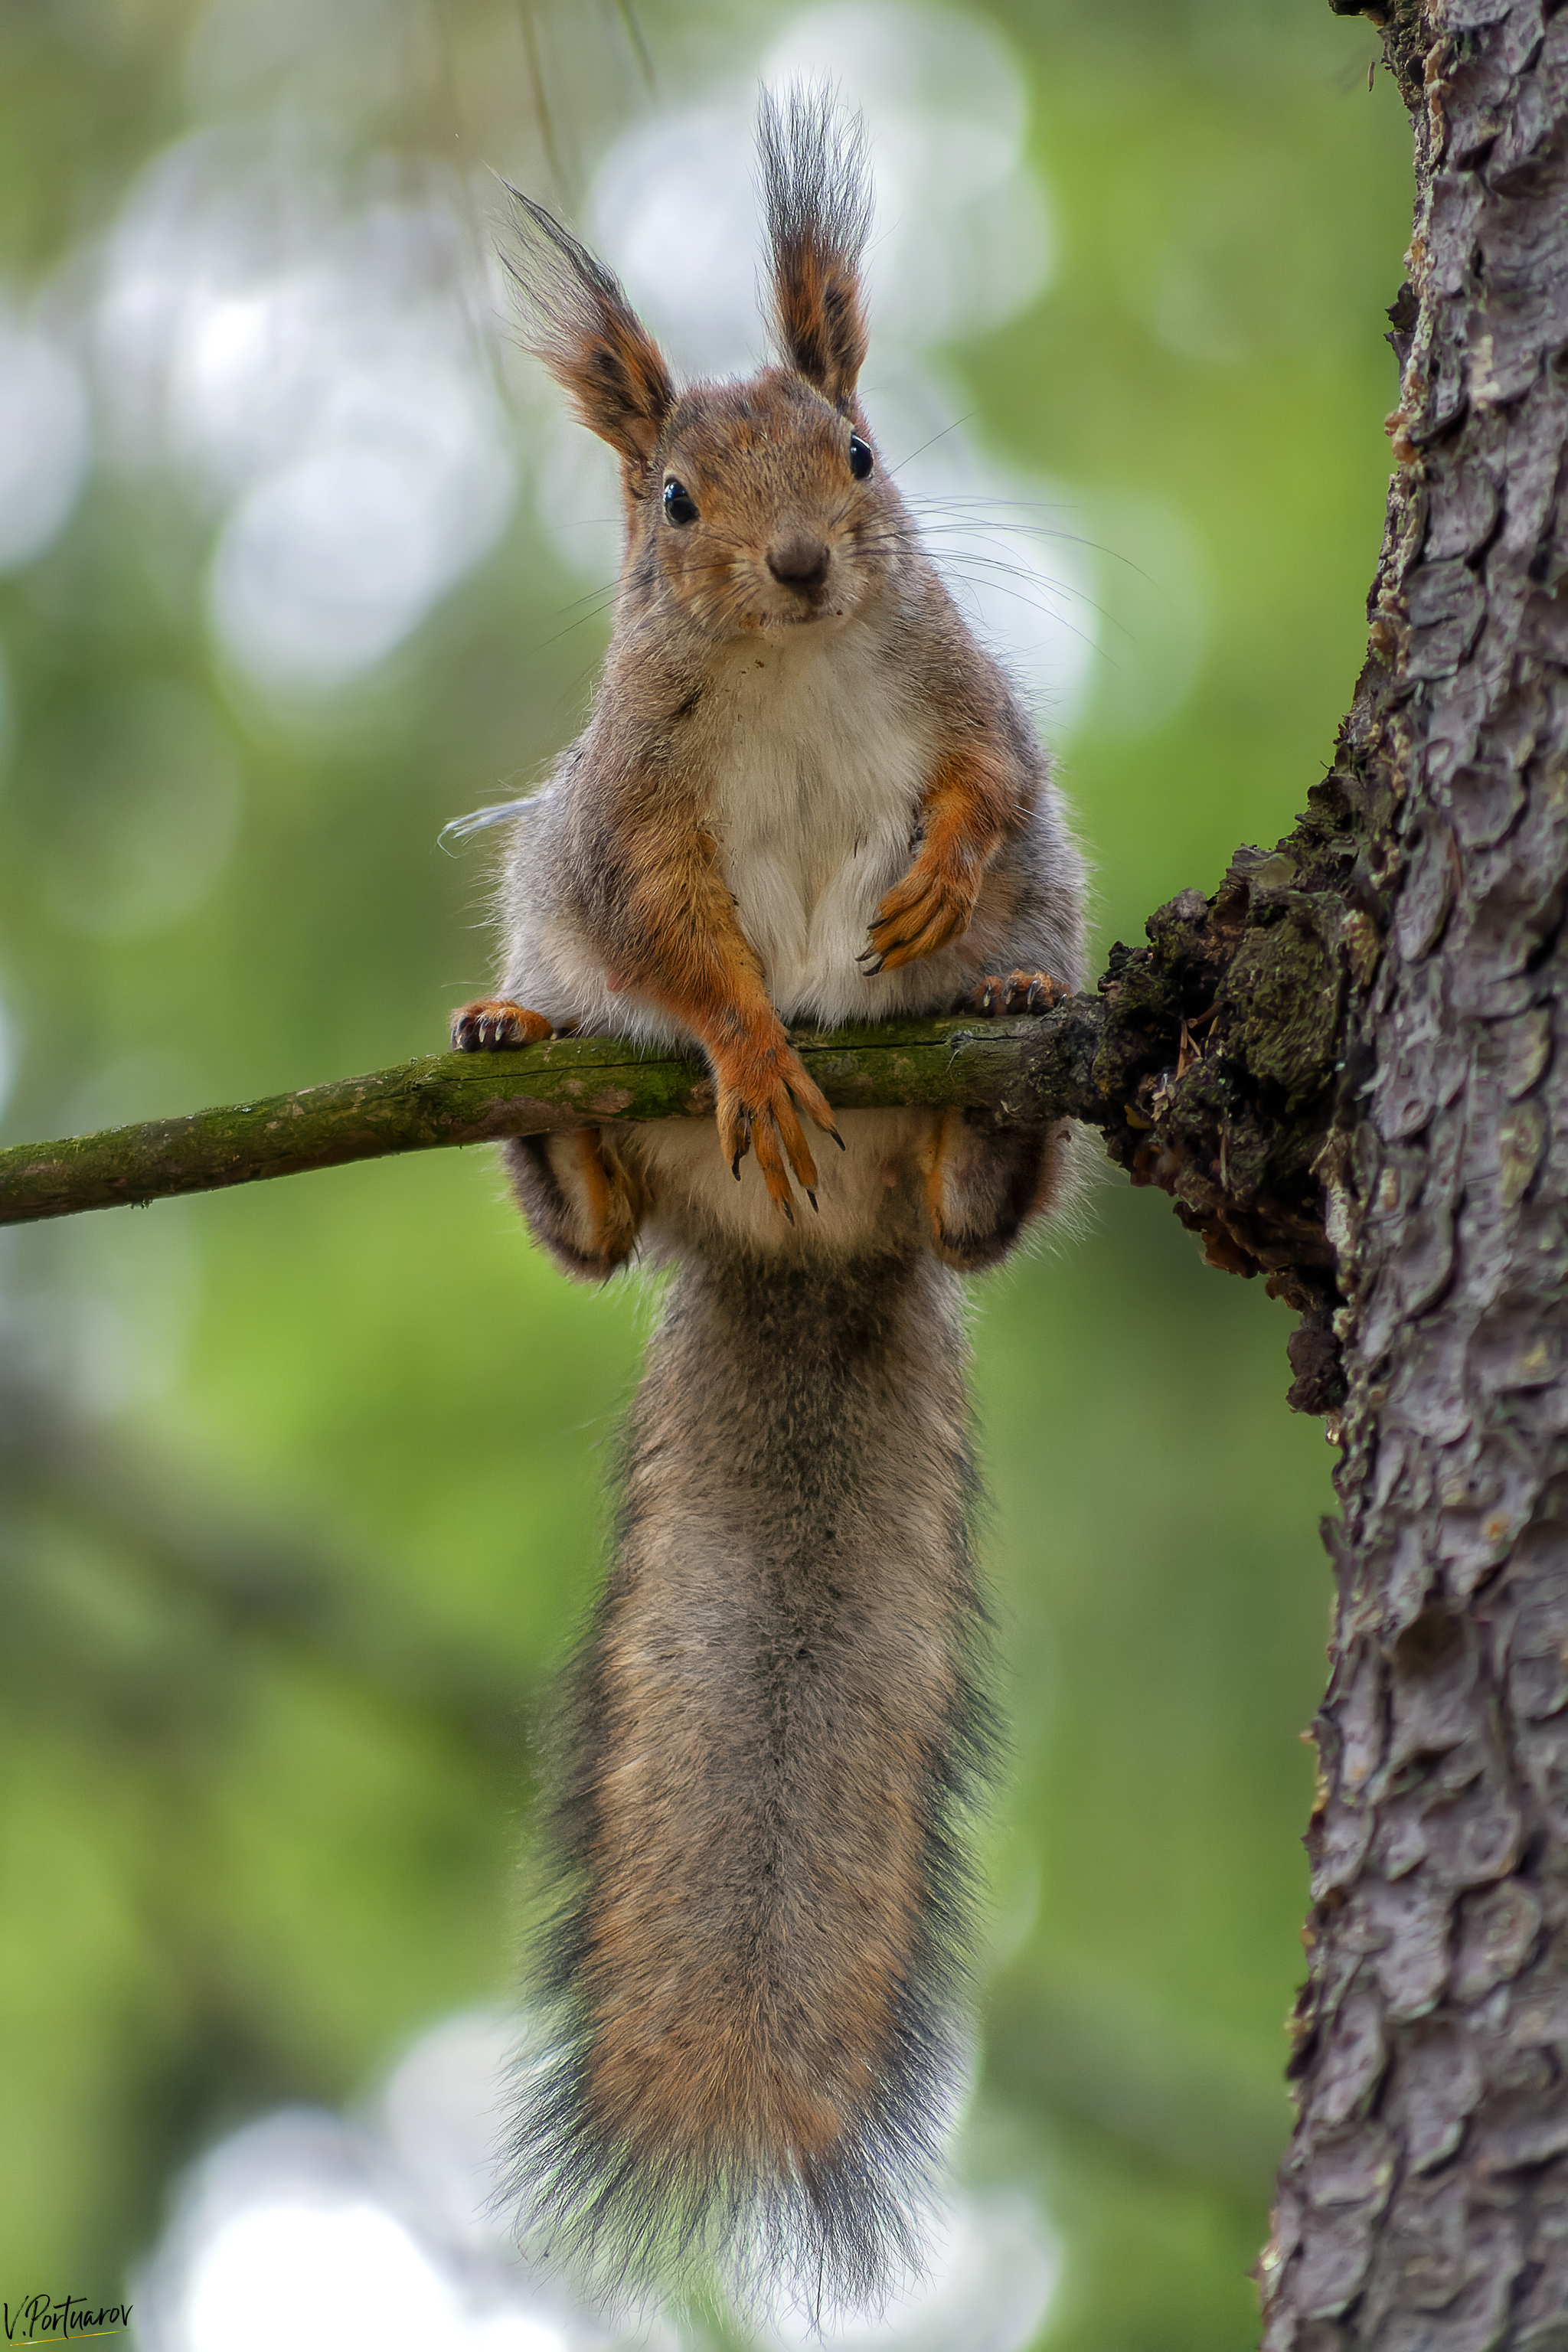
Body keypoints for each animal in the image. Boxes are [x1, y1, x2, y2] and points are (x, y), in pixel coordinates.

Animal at [446, 87, 1090, 2314]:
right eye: (669, 502)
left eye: (863, 456)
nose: (807, 564)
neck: (802, 671)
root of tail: (807, 1258)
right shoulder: (629, 812)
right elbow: (677, 935)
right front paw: (743, 1034)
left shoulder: (966, 692)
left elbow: (987, 780)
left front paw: (938, 878)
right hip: (606, 1105)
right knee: (594, 1226)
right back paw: (532, 1083)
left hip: (971, 1134)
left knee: (987, 1215)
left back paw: (992, 1051)